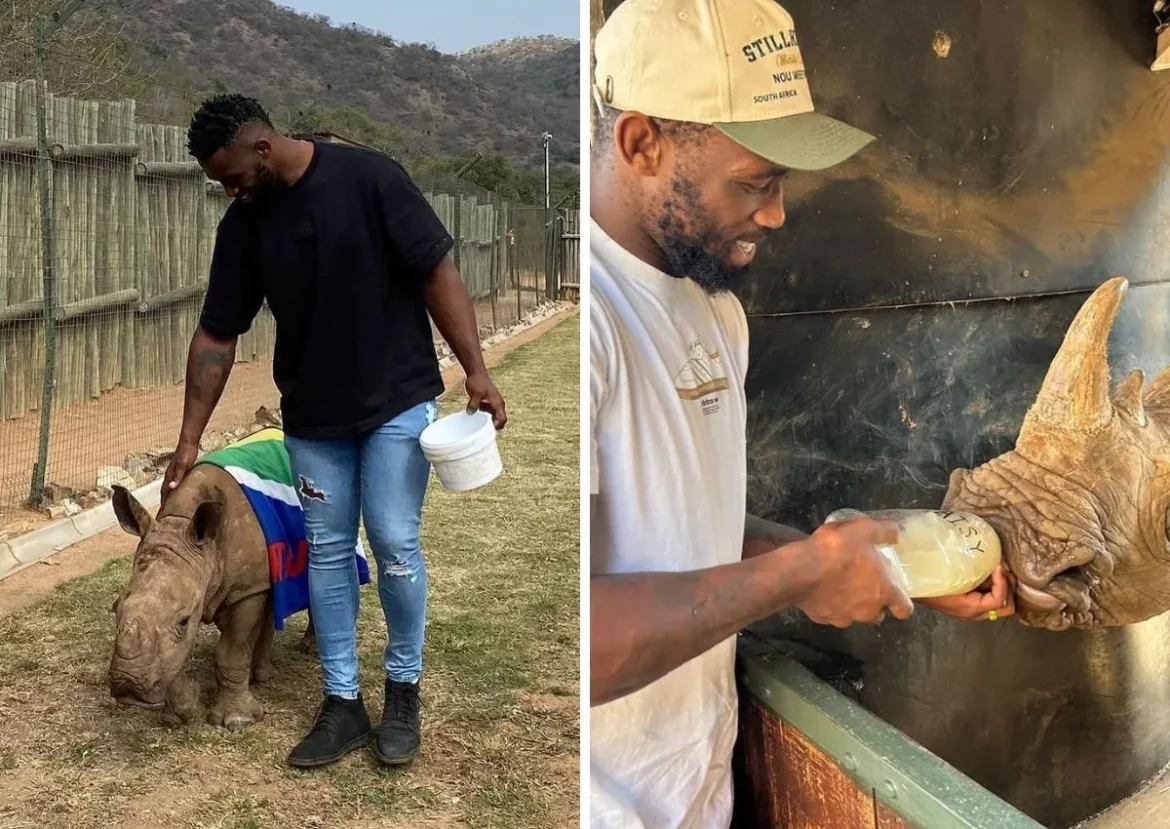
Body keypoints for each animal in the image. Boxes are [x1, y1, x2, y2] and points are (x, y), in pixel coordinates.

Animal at [106, 465, 306, 729]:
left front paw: (237, 721)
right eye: (115, 607)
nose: (128, 688)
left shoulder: (246, 589)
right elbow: (177, 654)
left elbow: (230, 652)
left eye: (183, 621)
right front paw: (177, 713)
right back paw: (263, 674)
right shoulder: (218, 585)